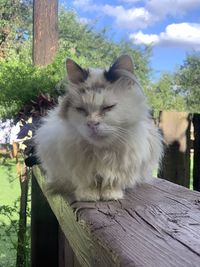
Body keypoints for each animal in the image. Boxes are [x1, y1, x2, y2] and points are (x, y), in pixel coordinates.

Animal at [34, 55, 162, 201]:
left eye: (108, 107)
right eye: (81, 109)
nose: (92, 123)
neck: (101, 152)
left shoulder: (120, 168)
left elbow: (112, 181)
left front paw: (111, 195)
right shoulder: (79, 168)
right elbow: (86, 182)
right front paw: (88, 195)